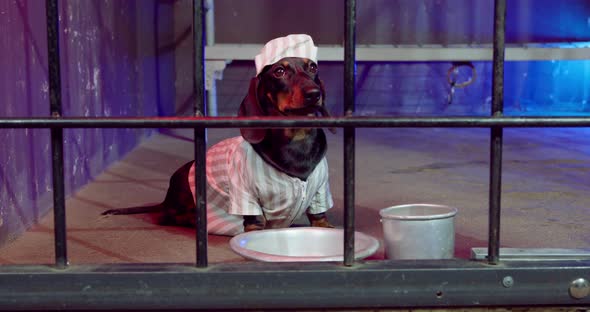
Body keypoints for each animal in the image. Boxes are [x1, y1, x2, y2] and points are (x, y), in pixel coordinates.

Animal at [103, 56, 338, 236]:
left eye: (313, 67)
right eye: (279, 71)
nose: (314, 93)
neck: (298, 141)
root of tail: (166, 199)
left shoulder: (320, 191)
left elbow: (319, 218)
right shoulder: (246, 197)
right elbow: (255, 225)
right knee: (168, 217)